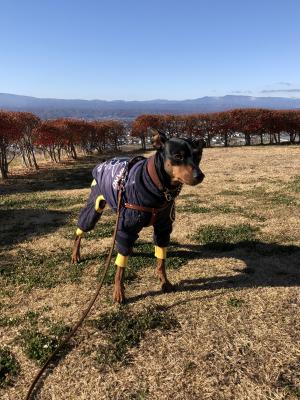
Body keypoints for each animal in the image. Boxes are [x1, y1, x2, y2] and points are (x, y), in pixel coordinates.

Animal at [71, 131, 205, 304]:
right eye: (178, 156)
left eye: (198, 155)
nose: (200, 175)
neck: (158, 188)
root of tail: (103, 163)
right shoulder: (127, 227)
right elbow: (120, 267)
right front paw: (118, 292)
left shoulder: (163, 228)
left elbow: (161, 259)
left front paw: (164, 281)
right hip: (96, 206)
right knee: (81, 230)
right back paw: (75, 255)